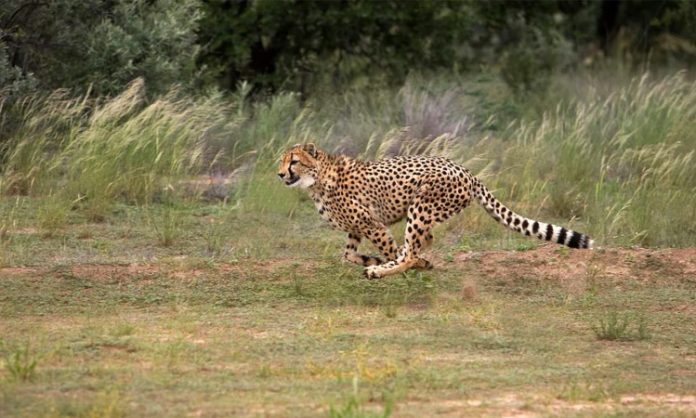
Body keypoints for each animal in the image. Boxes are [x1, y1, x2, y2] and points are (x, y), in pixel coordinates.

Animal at [278, 143, 592, 278]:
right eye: (281, 161)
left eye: (294, 161)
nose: (280, 174)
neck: (317, 179)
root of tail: (465, 170)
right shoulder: (357, 228)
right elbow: (348, 255)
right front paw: (373, 259)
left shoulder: (372, 224)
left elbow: (393, 250)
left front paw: (392, 263)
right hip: (425, 211)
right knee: (423, 240)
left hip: (422, 206)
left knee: (414, 246)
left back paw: (382, 271)